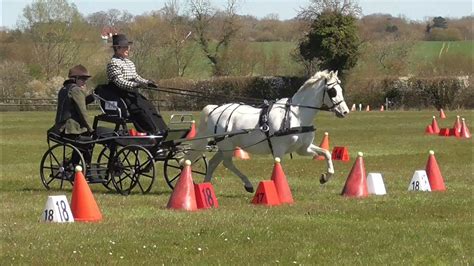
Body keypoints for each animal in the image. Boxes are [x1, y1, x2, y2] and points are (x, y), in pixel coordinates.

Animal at [185, 69, 348, 192]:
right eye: (332, 91)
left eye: (340, 89)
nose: (345, 111)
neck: (296, 115)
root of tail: (215, 109)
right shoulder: (279, 150)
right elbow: (278, 167)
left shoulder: (303, 148)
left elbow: (326, 153)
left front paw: (325, 177)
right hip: (226, 146)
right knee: (227, 163)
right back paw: (248, 184)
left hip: (225, 146)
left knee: (214, 163)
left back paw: (206, 185)